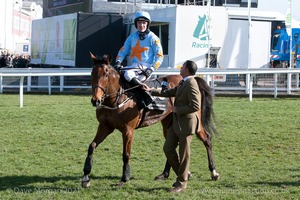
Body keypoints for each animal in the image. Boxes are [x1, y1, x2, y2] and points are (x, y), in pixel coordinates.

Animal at [81, 53, 219, 188]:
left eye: (106, 74)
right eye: (92, 73)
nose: (95, 100)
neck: (118, 97)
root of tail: (192, 79)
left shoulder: (128, 130)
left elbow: (126, 154)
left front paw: (124, 178)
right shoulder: (105, 126)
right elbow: (91, 146)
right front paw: (86, 176)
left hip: (195, 121)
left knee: (207, 139)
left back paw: (213, 172)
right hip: (168, 123)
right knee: (171, 145)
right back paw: (165, 174)